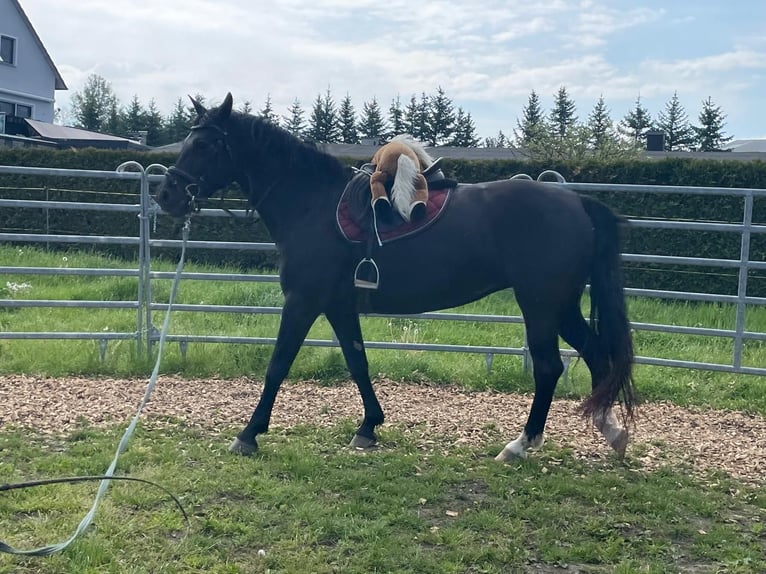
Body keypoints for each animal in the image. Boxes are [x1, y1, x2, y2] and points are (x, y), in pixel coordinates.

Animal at [154, 94, 636, 464]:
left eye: (206, 145)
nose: (166, 195)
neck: (311, 204)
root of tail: (577, 203)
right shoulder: (338, 305)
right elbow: (358, 362)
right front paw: (369, 426)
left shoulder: (303, 301)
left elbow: (277, 365)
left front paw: (249, 434)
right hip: (561, 305)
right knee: (596, 355)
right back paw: (611, 431)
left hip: (539, 305)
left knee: (550, 367)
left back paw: (519, 445)